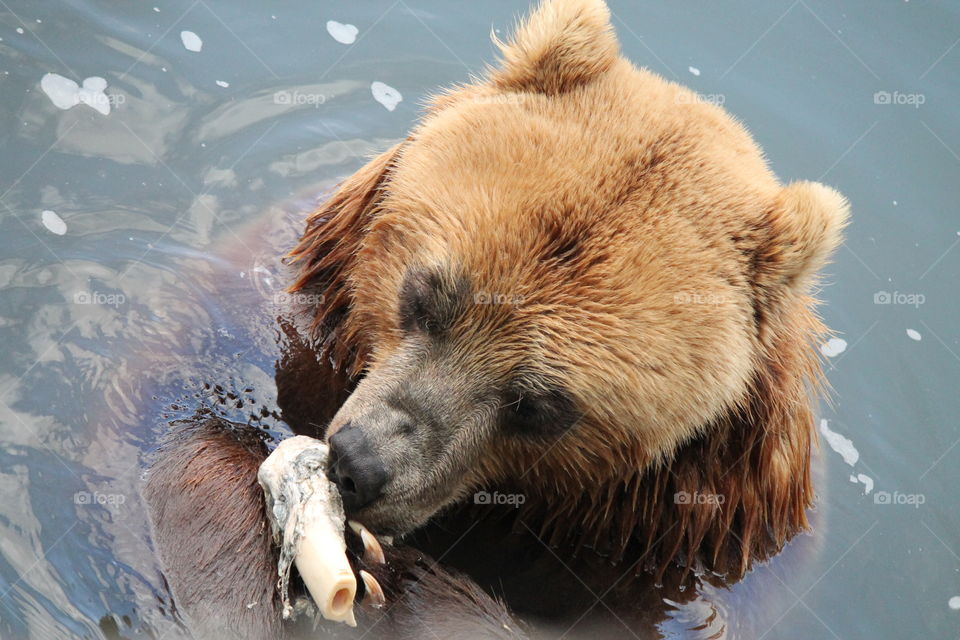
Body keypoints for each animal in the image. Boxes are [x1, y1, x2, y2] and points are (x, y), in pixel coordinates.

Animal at [144, 0, 848, 637]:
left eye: (537, 404)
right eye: (423, 295)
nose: (358, 463)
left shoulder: (690, 538)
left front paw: (391, 578)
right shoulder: (281, 314)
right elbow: (172, 414)